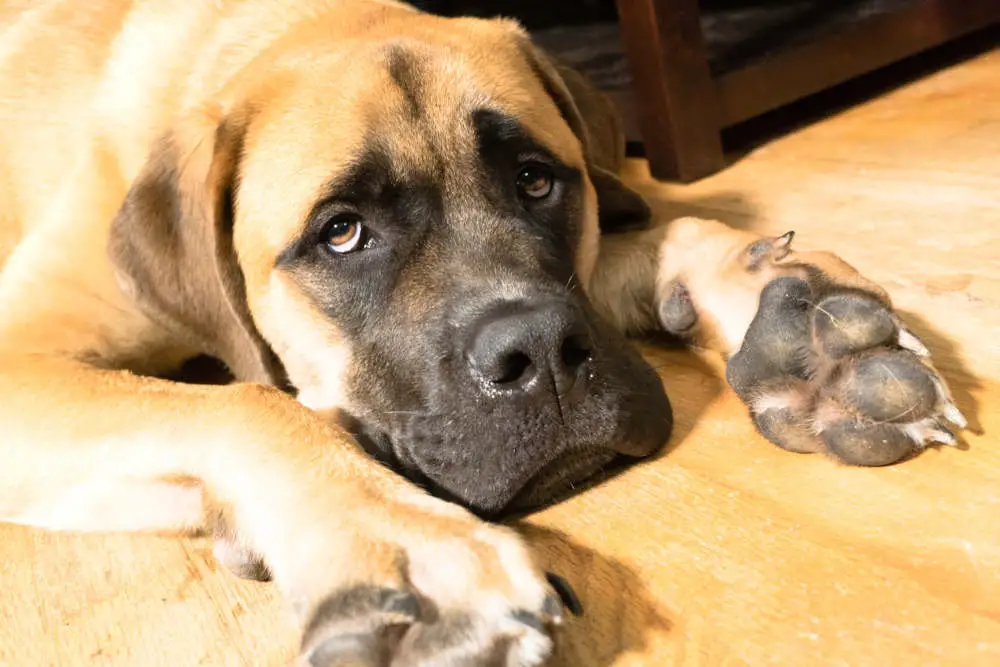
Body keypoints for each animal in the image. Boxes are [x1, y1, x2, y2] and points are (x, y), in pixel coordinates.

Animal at [0, 2, 968, 664]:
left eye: (537, 180)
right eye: (340, 232)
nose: (538, 354)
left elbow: (651, 232)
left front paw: (797, 322)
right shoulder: (20, 355)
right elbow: (250, 404)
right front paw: (400, 547)